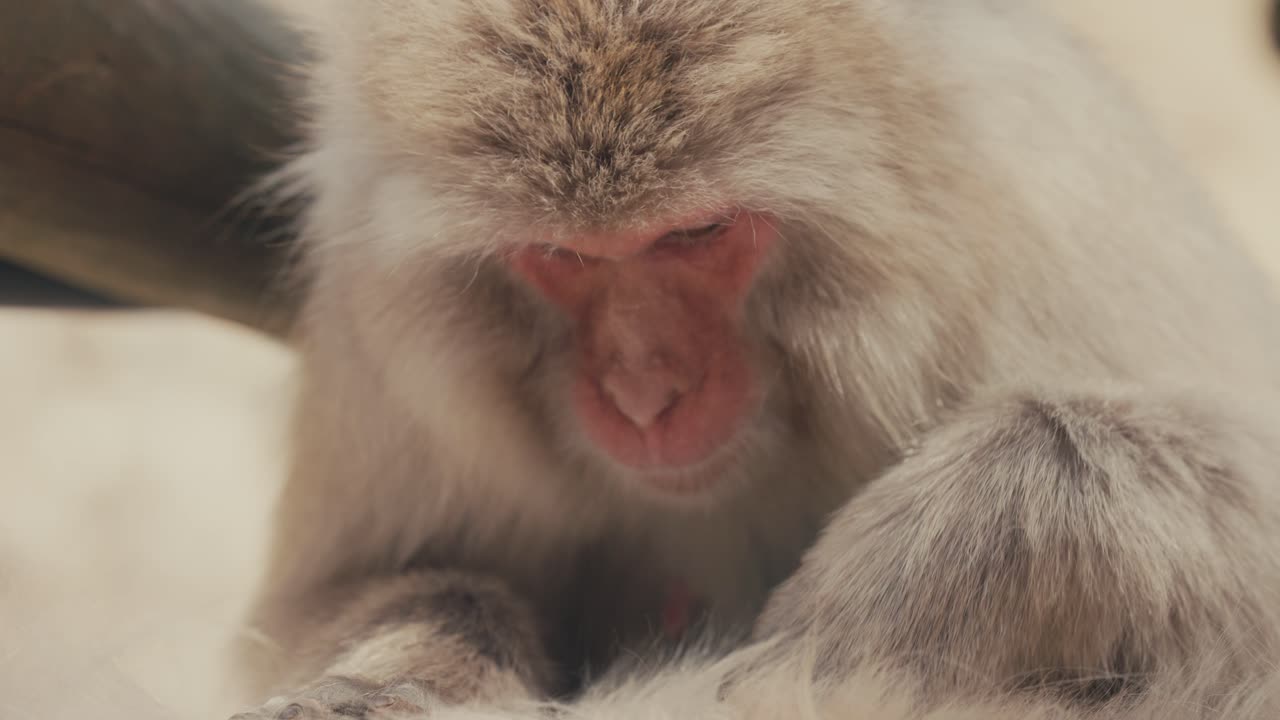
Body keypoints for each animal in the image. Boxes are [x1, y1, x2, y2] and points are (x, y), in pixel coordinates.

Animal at [228, 0, 1280, 718]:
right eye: (565, 256)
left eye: (698, 233)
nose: (644, 395)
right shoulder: (375, 333)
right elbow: (344, 591)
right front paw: (398, 678)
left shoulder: (1051, 224)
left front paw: (889, 593)